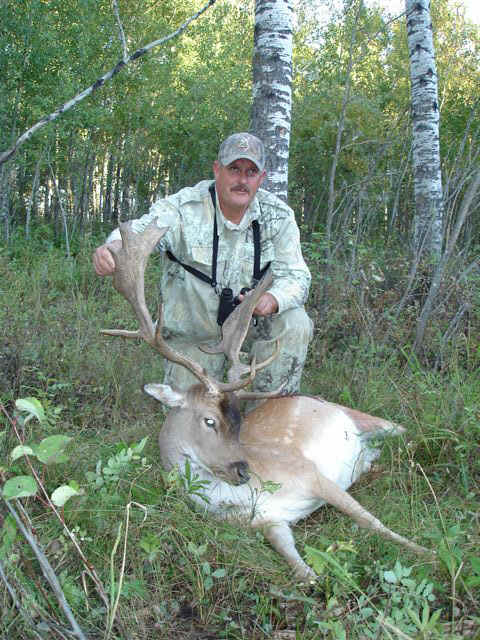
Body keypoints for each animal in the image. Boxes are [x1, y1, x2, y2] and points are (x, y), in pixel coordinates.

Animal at [101, 221, 431, 581]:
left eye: (238, 421)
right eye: (209, 420)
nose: (243, 470)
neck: (240, 500)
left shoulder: (309, 472)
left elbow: (373, 522)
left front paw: (428, 552)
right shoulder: (270, 523)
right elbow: (301, 570)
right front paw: (316, 578)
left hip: (369, 419)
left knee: (408, 432)